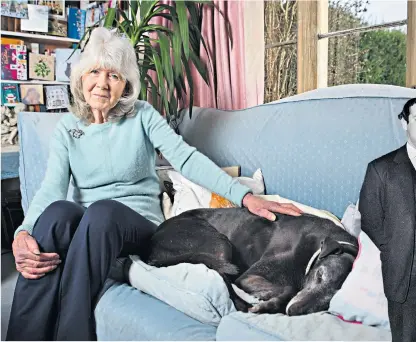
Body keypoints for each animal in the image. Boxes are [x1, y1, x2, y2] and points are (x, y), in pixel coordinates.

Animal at [145, 206, 358, 316]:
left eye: (329, 303)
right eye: (320, 275)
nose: (292, 311)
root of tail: (152, 247)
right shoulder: (250, 276)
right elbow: (288, 288)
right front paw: (266, 304)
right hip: (218, 242)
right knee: (222, 274)